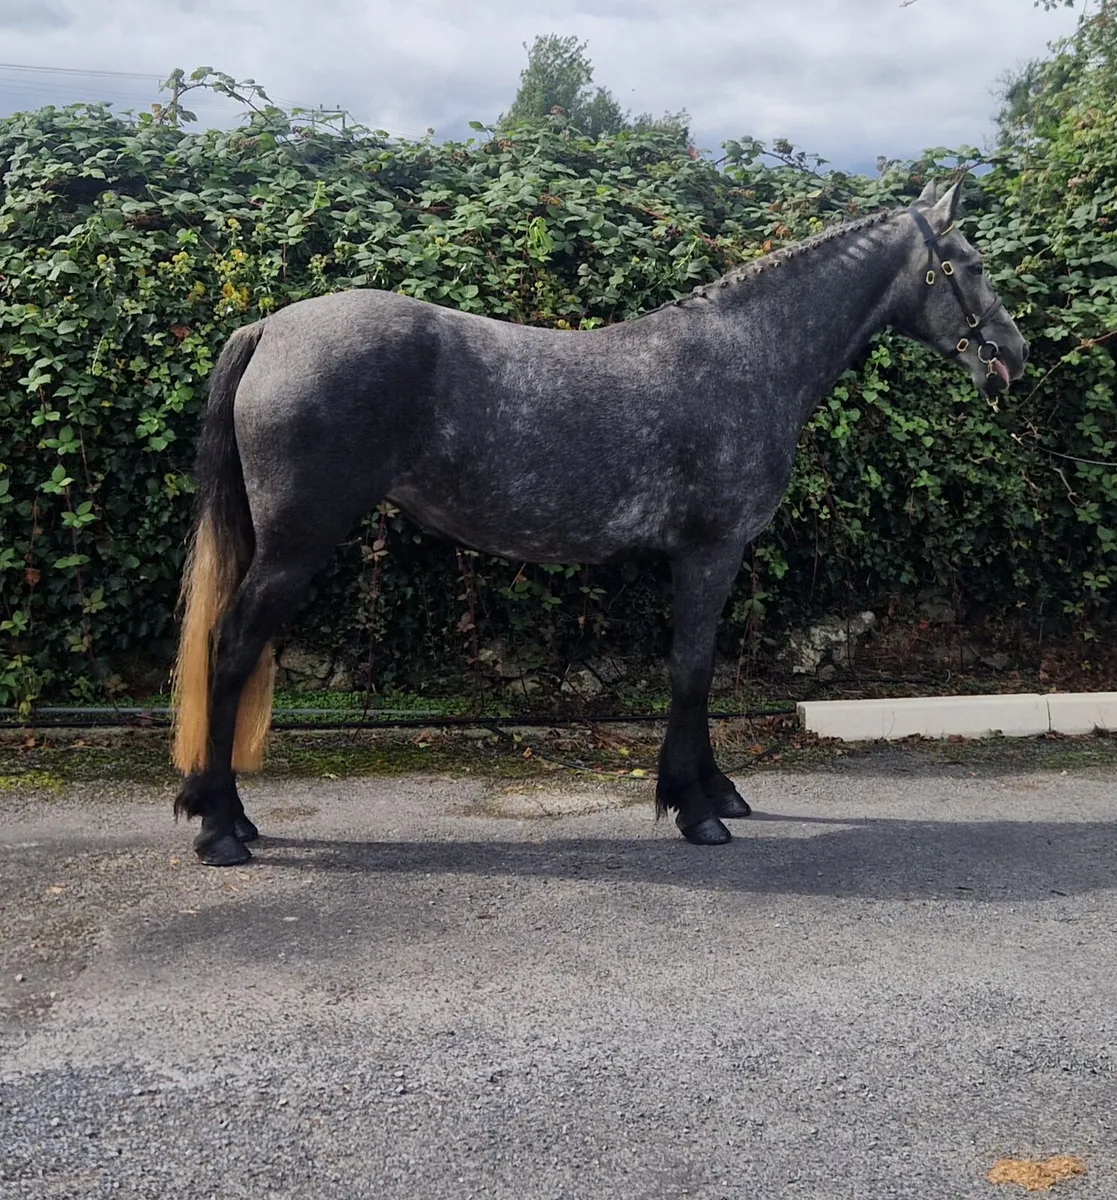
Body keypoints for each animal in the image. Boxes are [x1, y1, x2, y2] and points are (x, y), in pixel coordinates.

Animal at [170, 178, 1028, 865]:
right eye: (971, 263)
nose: (1012, 353)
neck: (750, 353)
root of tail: (271, 330)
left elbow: (696, 671)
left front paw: (716, 791)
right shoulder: (709, 553)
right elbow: (691, 672)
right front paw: (696, 812)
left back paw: (229, 817)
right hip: (294, 546)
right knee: (230, 649)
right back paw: (219, 829)